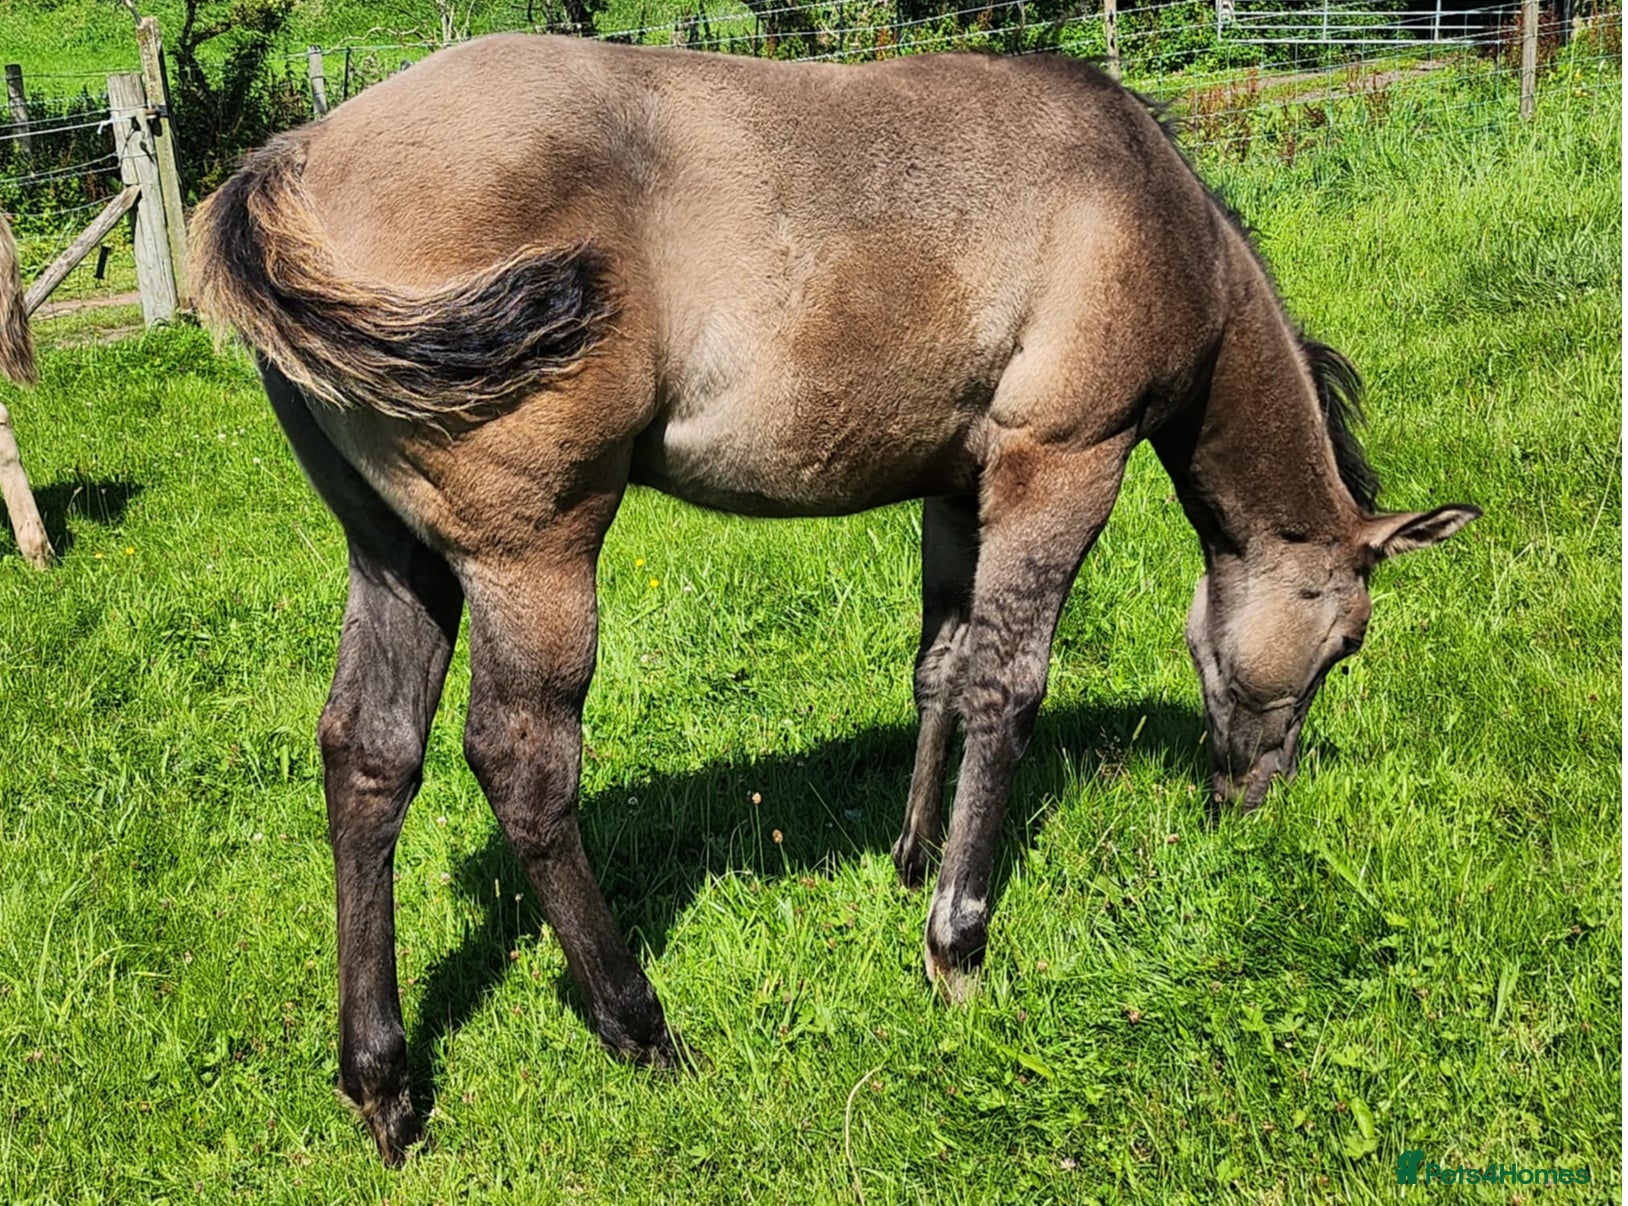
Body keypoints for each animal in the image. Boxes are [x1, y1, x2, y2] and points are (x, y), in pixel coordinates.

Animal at [189, 34, 1479, 1164]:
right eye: (1345, 643)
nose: (1255, 801)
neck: (1152, 214)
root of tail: (292, 158)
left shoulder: (957, 485)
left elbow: (941, 666)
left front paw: (910, 854)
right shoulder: (1062, 461)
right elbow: (1007, 686)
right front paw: (955, 939)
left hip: (393, 556)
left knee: (369, 755)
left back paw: (383, 1086)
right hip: (531, 554)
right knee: (521, 762)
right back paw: (641, 1027)